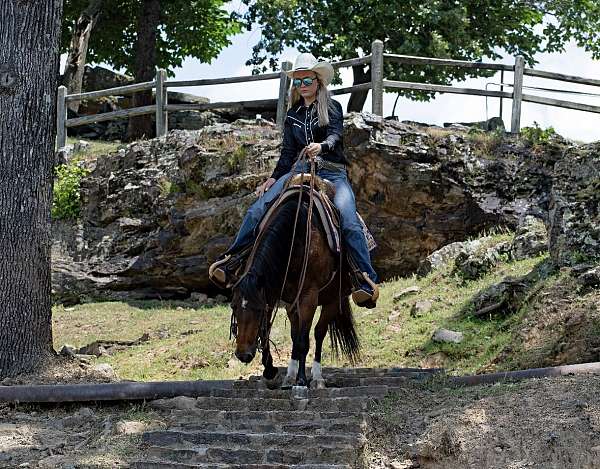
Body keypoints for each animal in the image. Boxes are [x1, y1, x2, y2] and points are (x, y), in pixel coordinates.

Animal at [229, 173, 360, 388]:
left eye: (257, 309)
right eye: (234, 306)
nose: (243, 355)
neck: (297, 236)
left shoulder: (308, 298)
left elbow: (303, 340)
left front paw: (301, 380)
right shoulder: (273, 293)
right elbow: (270, 332)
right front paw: (271, 370)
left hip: (333, 299)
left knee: (319, 332)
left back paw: (317, 377)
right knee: (295, 332)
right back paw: (289, 375)